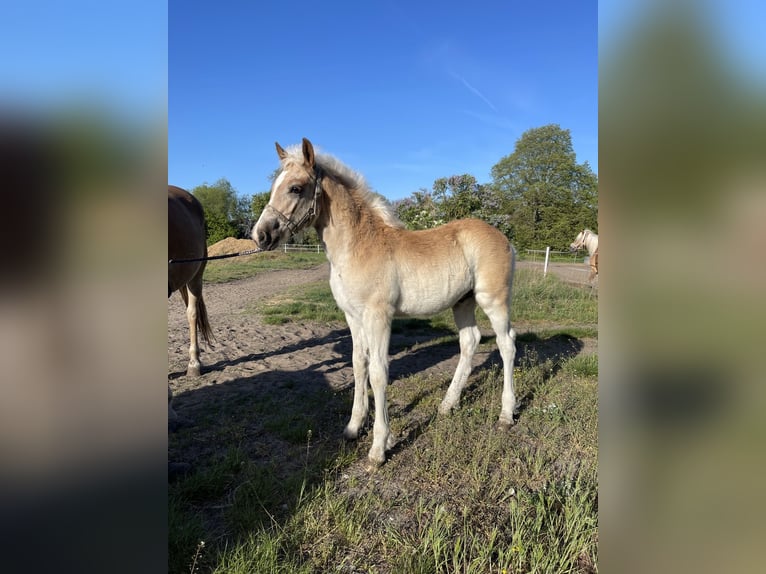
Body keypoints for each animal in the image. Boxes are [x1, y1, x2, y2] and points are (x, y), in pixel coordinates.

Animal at [252, 138, 517, 468]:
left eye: (296, 188)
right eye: (275, 185)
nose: (261, 235)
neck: (358, 246)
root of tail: (505, 239)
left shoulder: (378, 316)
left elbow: (378, 372)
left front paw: (379, 448)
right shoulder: (353, 317)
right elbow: (358, 365)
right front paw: (353, 427)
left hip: (493, 300)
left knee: (507, 344)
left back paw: (506, 414)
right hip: (463, 302)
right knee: (470, 341)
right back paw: (447, 404)